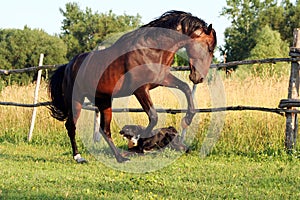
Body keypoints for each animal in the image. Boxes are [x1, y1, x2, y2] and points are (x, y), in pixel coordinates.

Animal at [50, 10, 217, 162]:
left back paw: (120, 157)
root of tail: (68, 66)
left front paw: (187, 119)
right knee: (71, 126)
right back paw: (79, 157)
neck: (151, 49)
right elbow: (153, 117)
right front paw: (138, 141)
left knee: (104, 130)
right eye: (209, 48)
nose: (199, 77)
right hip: (76, 100)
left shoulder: (162, 79)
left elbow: (185, 88)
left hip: (104, 101)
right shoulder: (141, 89)